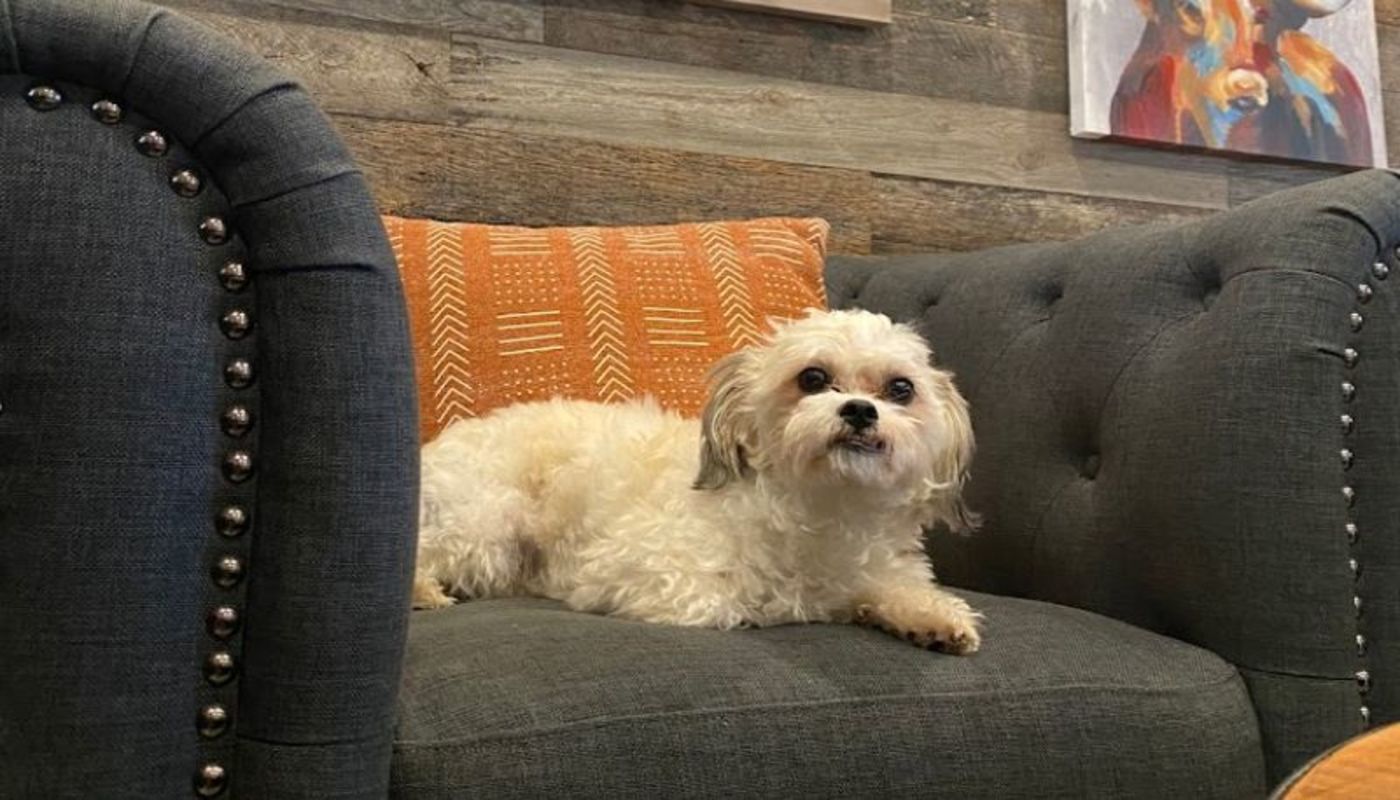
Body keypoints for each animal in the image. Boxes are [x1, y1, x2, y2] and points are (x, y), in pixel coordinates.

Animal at [412, 309, 983, 654]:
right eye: (813, 378)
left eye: (901, 389)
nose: (861, 410)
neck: (827, 509)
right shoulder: (642, 571)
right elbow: (733, 602)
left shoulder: (877, 568)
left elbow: (896, 587)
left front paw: (933, 619)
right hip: (486, 528)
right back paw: (423, 592)